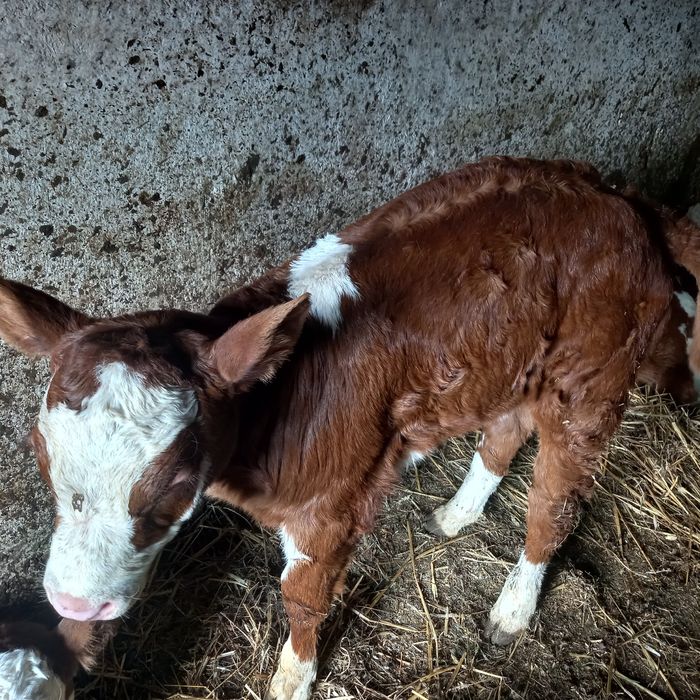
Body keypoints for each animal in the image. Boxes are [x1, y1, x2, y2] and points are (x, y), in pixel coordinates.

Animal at [0, 158, 698, 699]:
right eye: (40, 455)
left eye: (173, 479)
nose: (74, 605)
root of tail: (617, 198)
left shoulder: (330, 507)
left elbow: (303, 597)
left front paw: (292, 679)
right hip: (512, 364)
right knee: (503, 433)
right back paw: (457, 514)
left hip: (591, 381)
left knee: (556, 502)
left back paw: (512, 608)